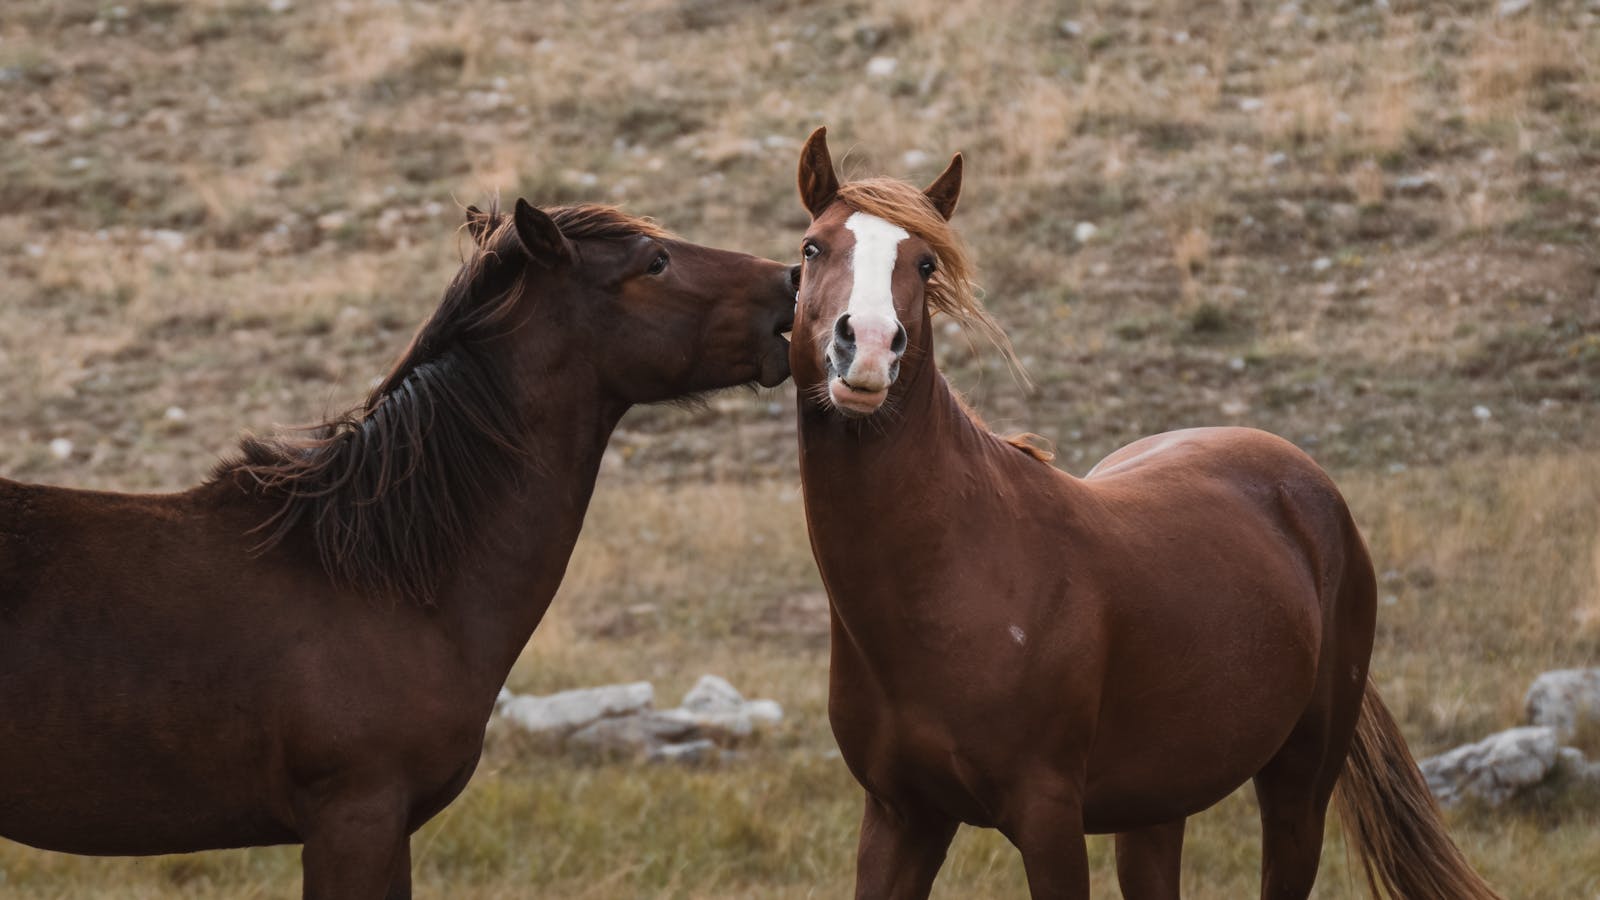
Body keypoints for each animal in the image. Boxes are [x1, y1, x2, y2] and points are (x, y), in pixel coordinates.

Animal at [787, 126, 1497, 896]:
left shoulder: (1047, 816)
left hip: (1299, 790)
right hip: (1157, 804)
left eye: (923, 262)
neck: (952, 572)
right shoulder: (901, 816)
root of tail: (1307, 483)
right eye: (812, 248)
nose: (867, 348)